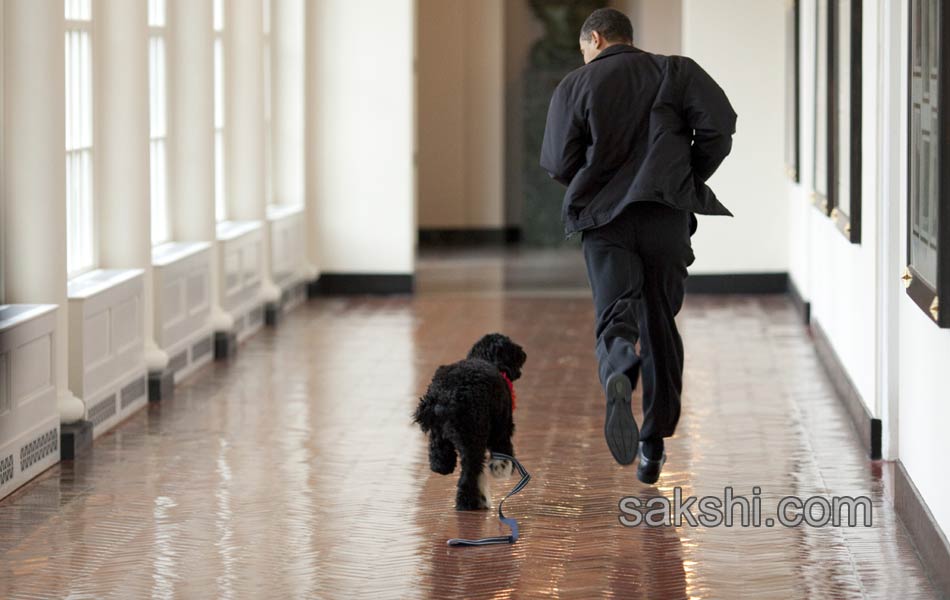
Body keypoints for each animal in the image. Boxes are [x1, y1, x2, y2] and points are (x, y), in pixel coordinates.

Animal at [412, 332, 524, 510]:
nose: (523, 353)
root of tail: (445, 396)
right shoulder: (501, 427)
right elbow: (503, 453)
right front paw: (501, 469)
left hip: (441, 435)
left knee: (440, 459)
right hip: (473, 439)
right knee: (468, 474)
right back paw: (467, 502)